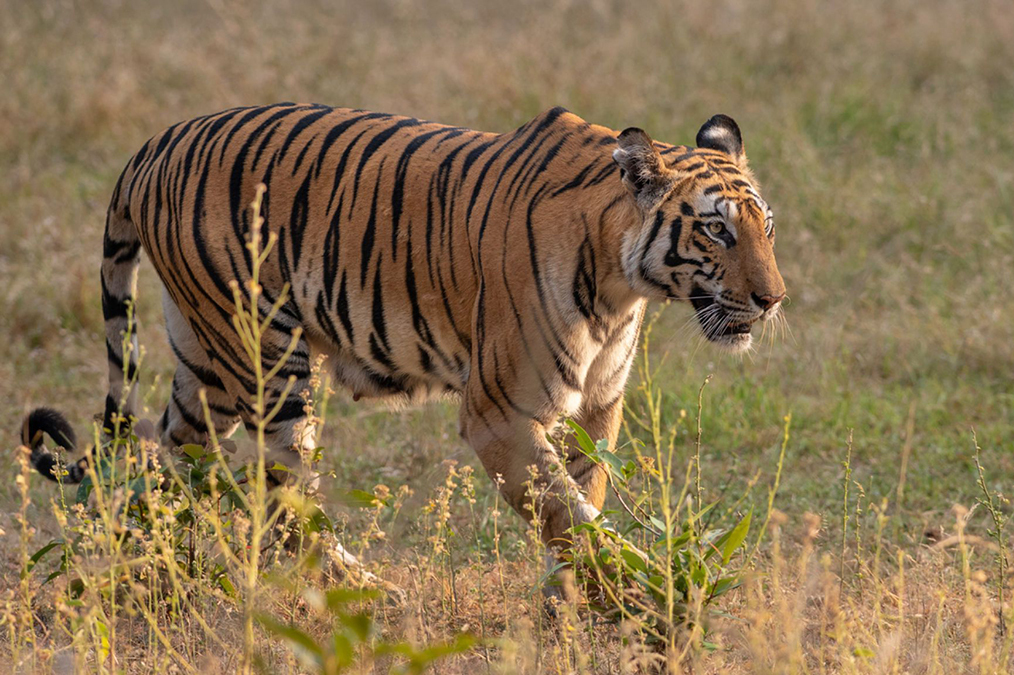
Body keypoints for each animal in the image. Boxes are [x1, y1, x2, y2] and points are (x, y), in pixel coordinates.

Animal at [21, 102, 782, 563]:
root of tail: (157, 142)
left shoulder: (597, 408)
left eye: (766, 227)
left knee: (167, 454)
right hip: (266, 358)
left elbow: (581, 503)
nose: (773, 299)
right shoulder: (501, 413)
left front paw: (573, 603)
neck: (621, 287)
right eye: (716, 230)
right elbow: (570, 517)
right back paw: (360, 587)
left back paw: (151, 566)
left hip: (204, 362)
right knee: (280, 490)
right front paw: (645, 601)